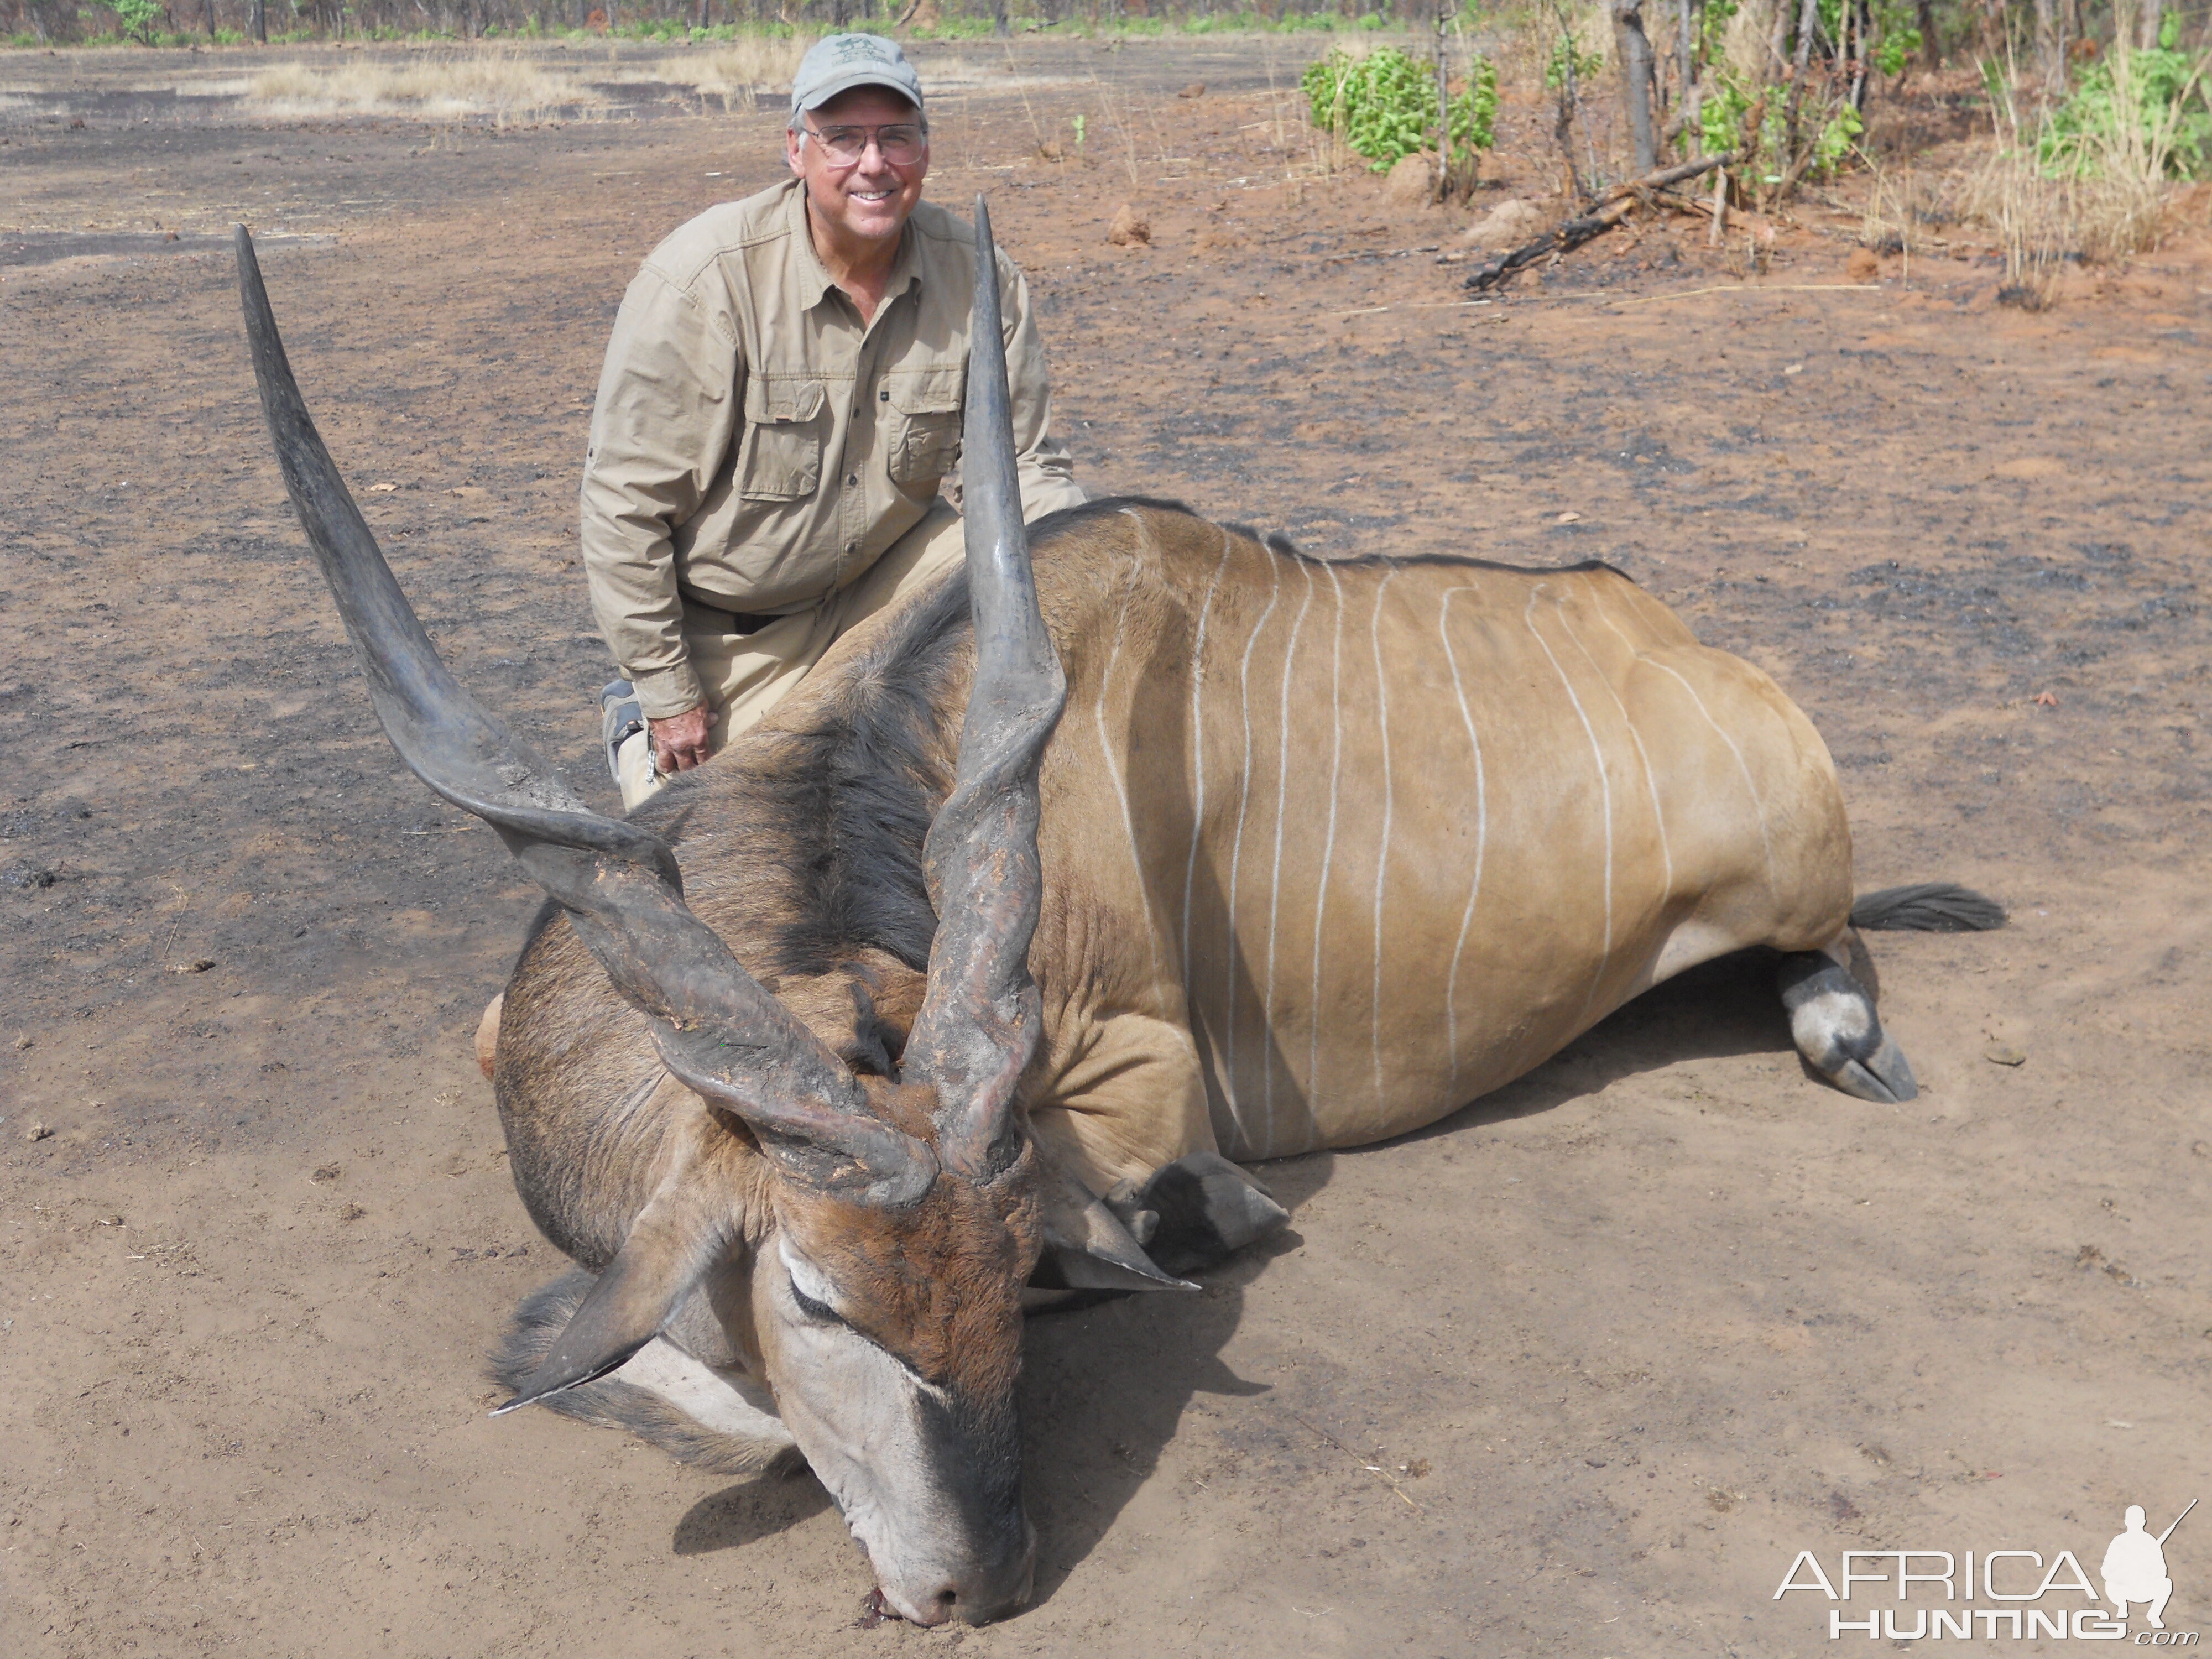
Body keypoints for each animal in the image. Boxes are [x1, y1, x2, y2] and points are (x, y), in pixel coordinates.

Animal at [238, 208, 2008, 1637]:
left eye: (1004, 1260)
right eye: (817, 1296)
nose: (977, 1583)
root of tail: (1687, 643)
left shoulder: (1151, 1087)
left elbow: (1150, 1219)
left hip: (1791, 874)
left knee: (1828, 951)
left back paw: (1842, 1029)